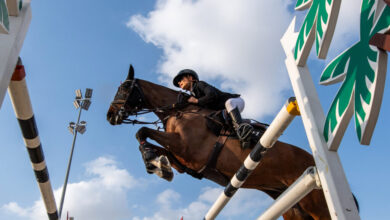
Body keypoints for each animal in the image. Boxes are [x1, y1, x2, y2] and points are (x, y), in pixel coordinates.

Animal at [107, 65, 332, 220]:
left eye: (125, 88)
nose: (110, 116)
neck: (178, 111)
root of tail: (314, 158)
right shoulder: (182, 160)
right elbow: (147, 140)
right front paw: (157, 164)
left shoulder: (186, 148)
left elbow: (142, 131)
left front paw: (155, 162)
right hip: (294, 207)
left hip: (316, 201)